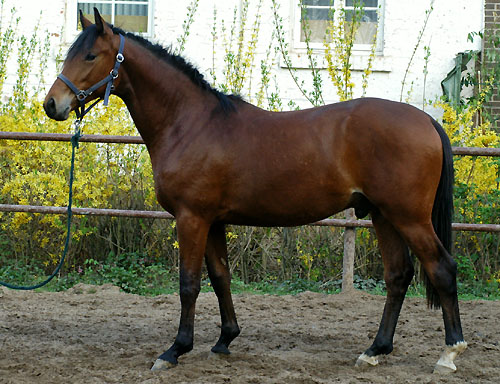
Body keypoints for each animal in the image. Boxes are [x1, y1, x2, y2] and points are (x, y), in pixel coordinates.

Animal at [45, 9, 466, 376]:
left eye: (90, 55)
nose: (52, 104)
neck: (190, 123)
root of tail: (426, 120)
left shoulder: (191, 218)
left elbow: (188, 284)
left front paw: (175, 350)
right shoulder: (212, 221)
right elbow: (220, 278)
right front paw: (225, 340)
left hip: (409, 217)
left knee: (442, 269)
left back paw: (449, 353)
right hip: (383, 215)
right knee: (398, 275)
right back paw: (375, 350)